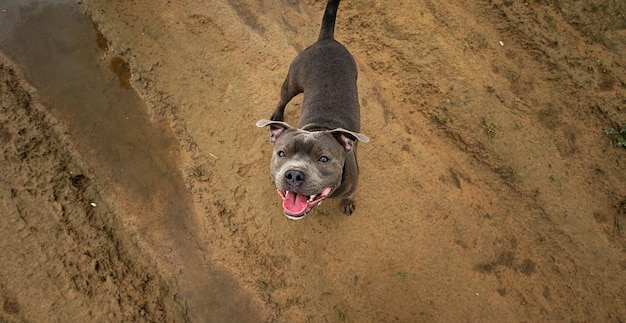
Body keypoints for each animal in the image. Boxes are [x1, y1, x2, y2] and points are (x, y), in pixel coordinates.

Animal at [256, 0, 368, 220]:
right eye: (281, 153)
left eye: (324, 159)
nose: (294, 174)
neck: (318, 127)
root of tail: (327, 40)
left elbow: (349, 194)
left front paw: (348, 202)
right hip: (292, 84)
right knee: (283, 99)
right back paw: (277, 114)